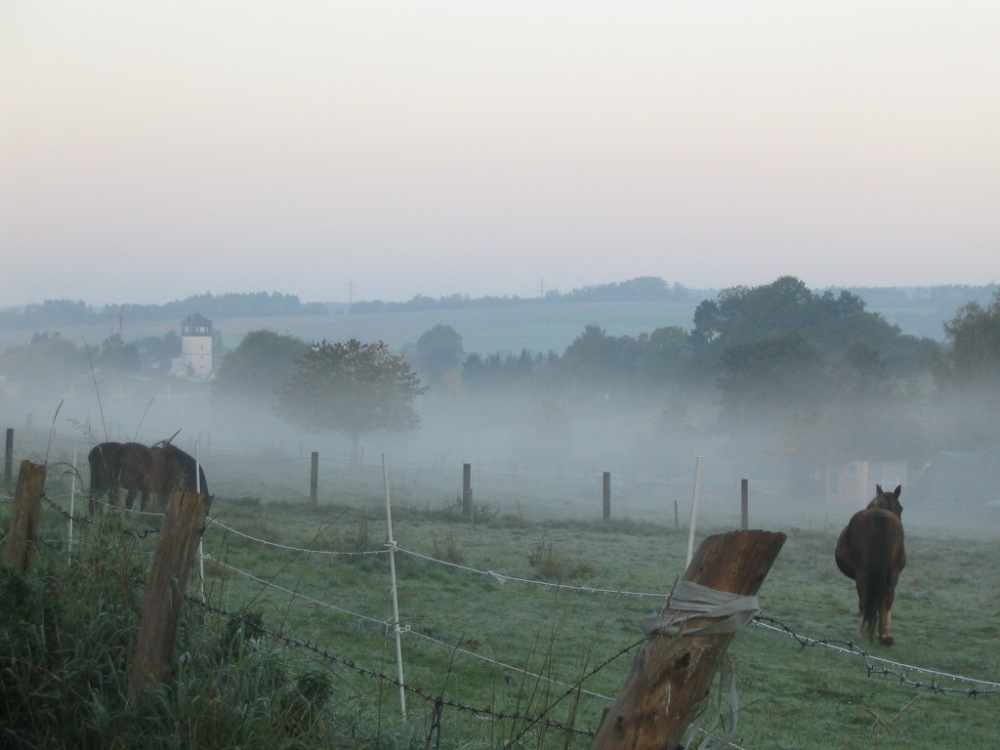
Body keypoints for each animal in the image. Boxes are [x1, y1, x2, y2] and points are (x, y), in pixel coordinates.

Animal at [836, 488, 908, 648]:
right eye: (900, 508)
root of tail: (880, 517)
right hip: (890, 574)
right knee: (887, 597)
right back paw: (885, 636)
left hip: (863, 574)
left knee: (866, 600)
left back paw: (867, 634)